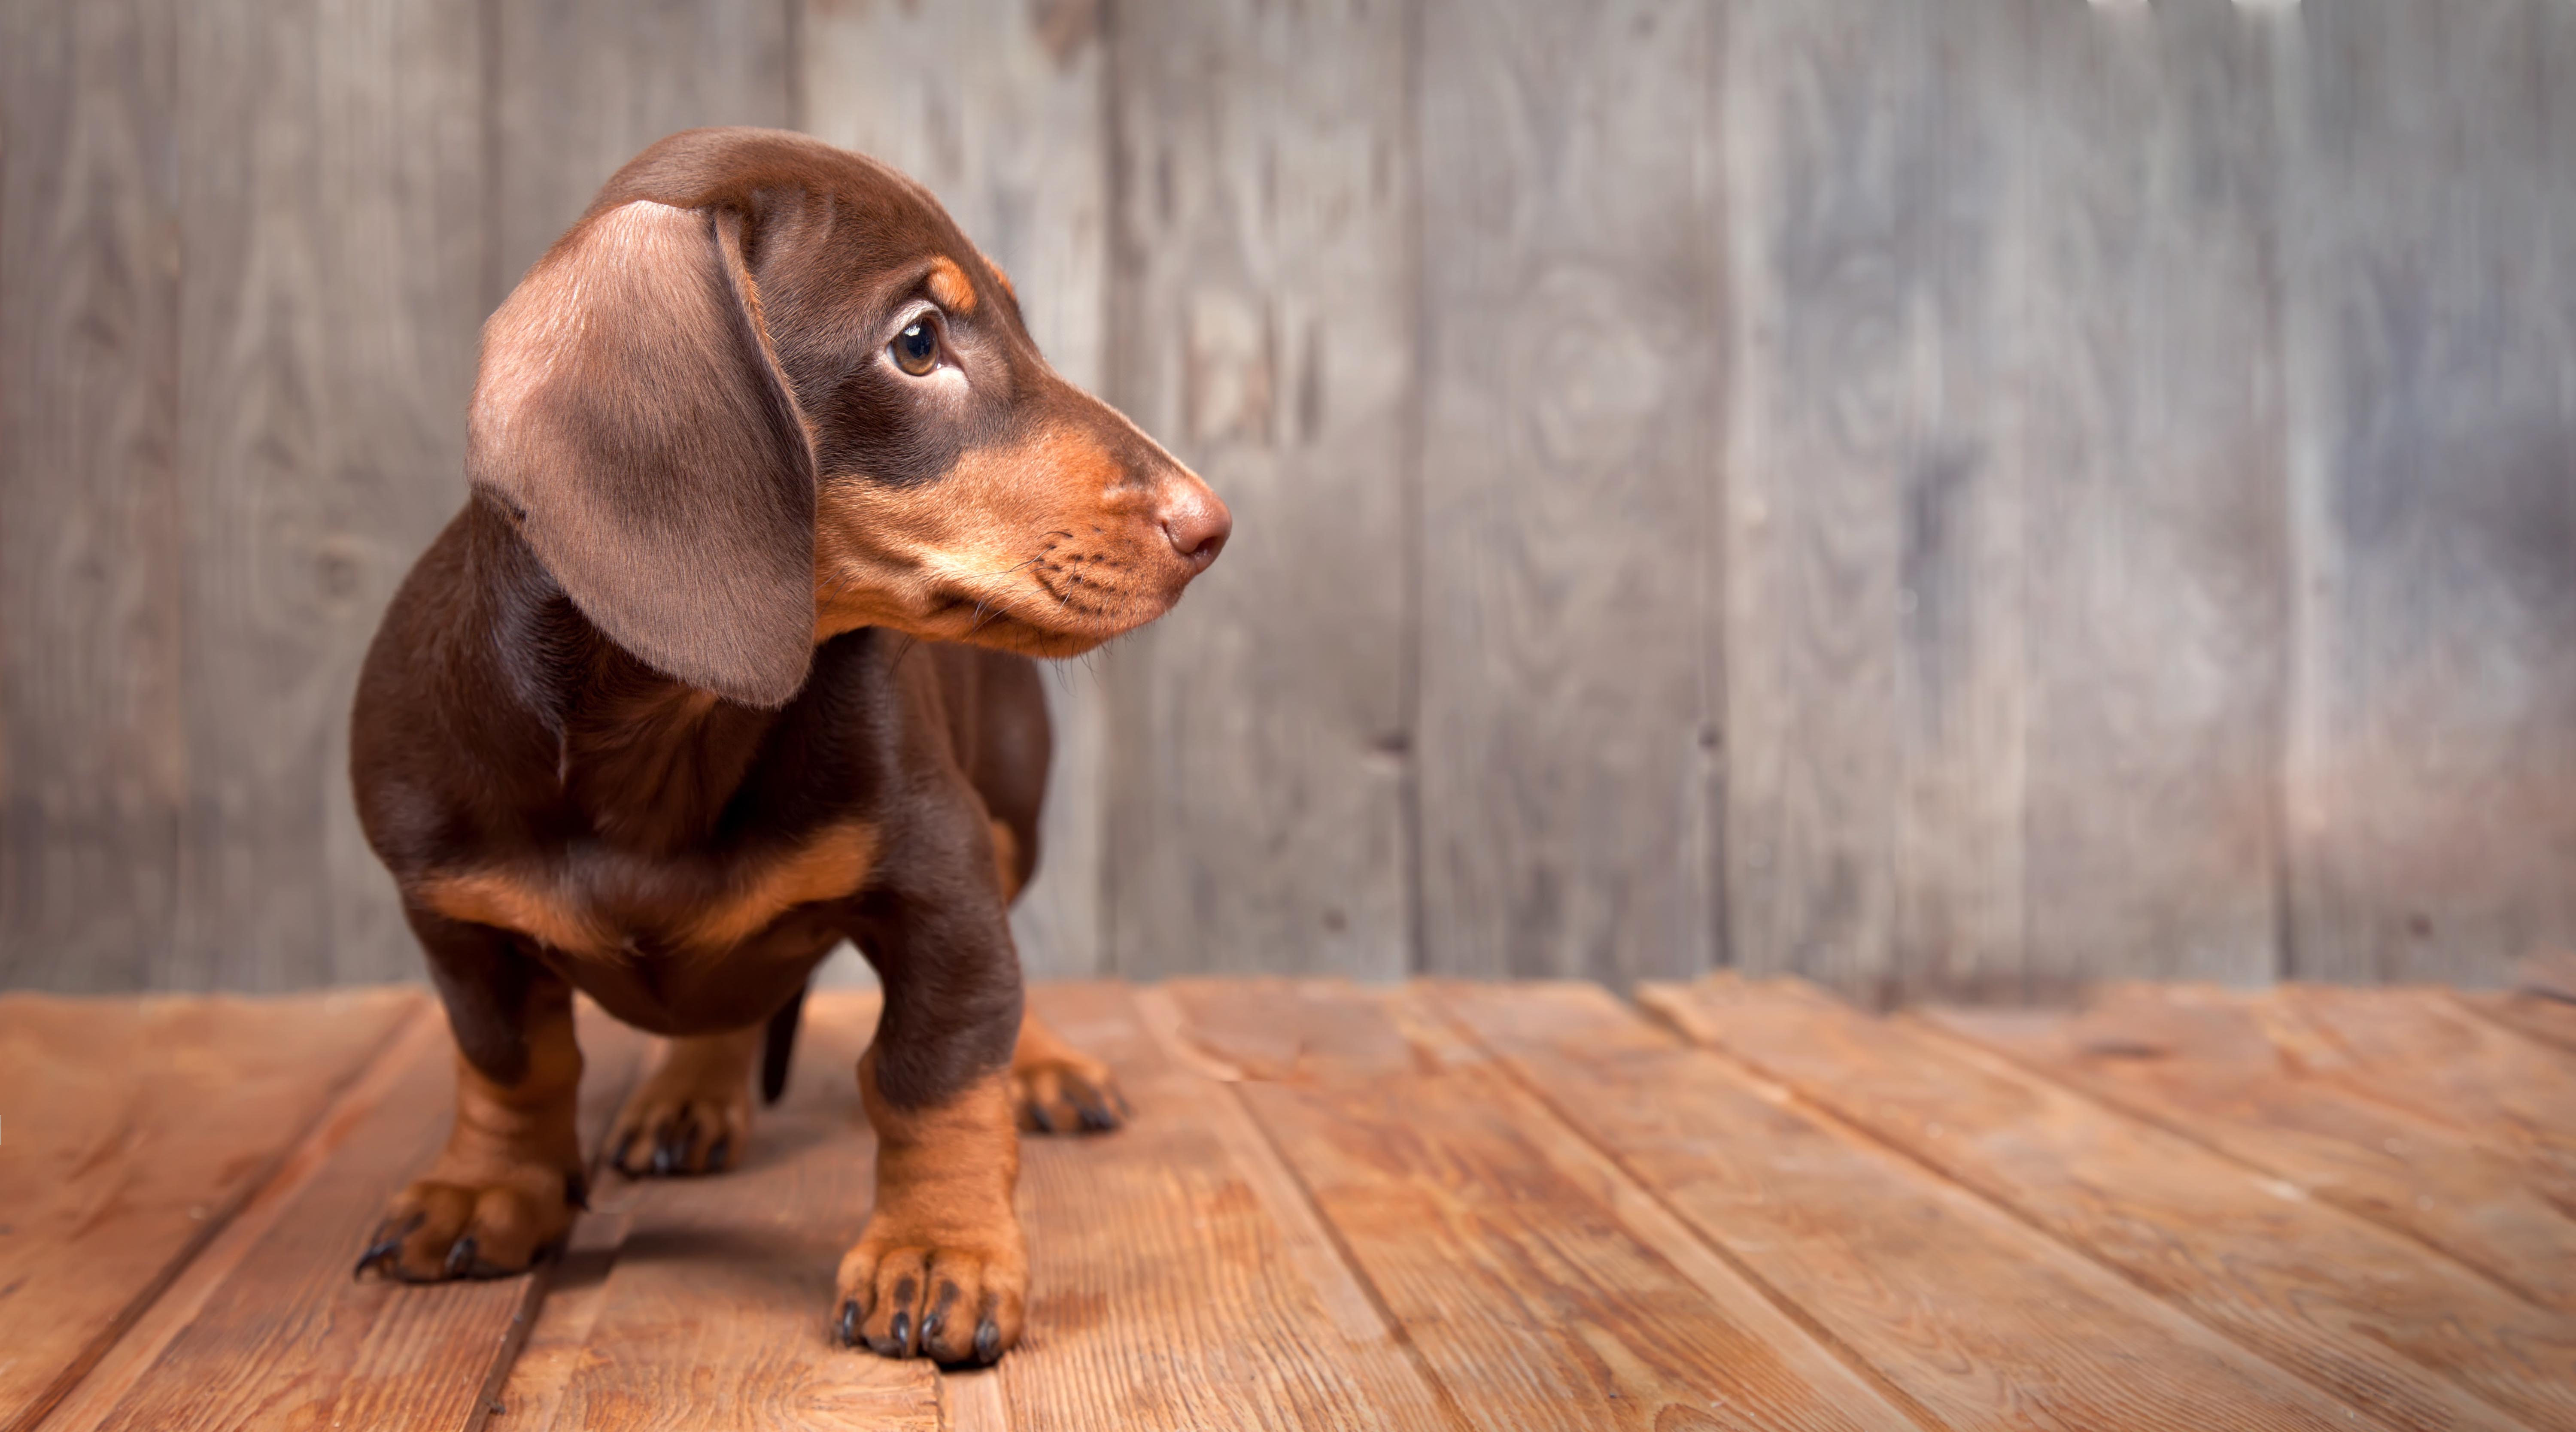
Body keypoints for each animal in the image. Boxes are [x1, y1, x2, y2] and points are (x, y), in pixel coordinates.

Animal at [350, 125, 1226, 1360]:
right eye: (919, 343)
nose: (1212, 527)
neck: (664, 727)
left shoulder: (943, 885)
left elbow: (936, 1072)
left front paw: (939, 1253)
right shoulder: (453, 915)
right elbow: (512, 1065)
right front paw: (488, 1189)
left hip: (1010, 810)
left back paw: (1047, 1067)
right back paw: (691, 1091)